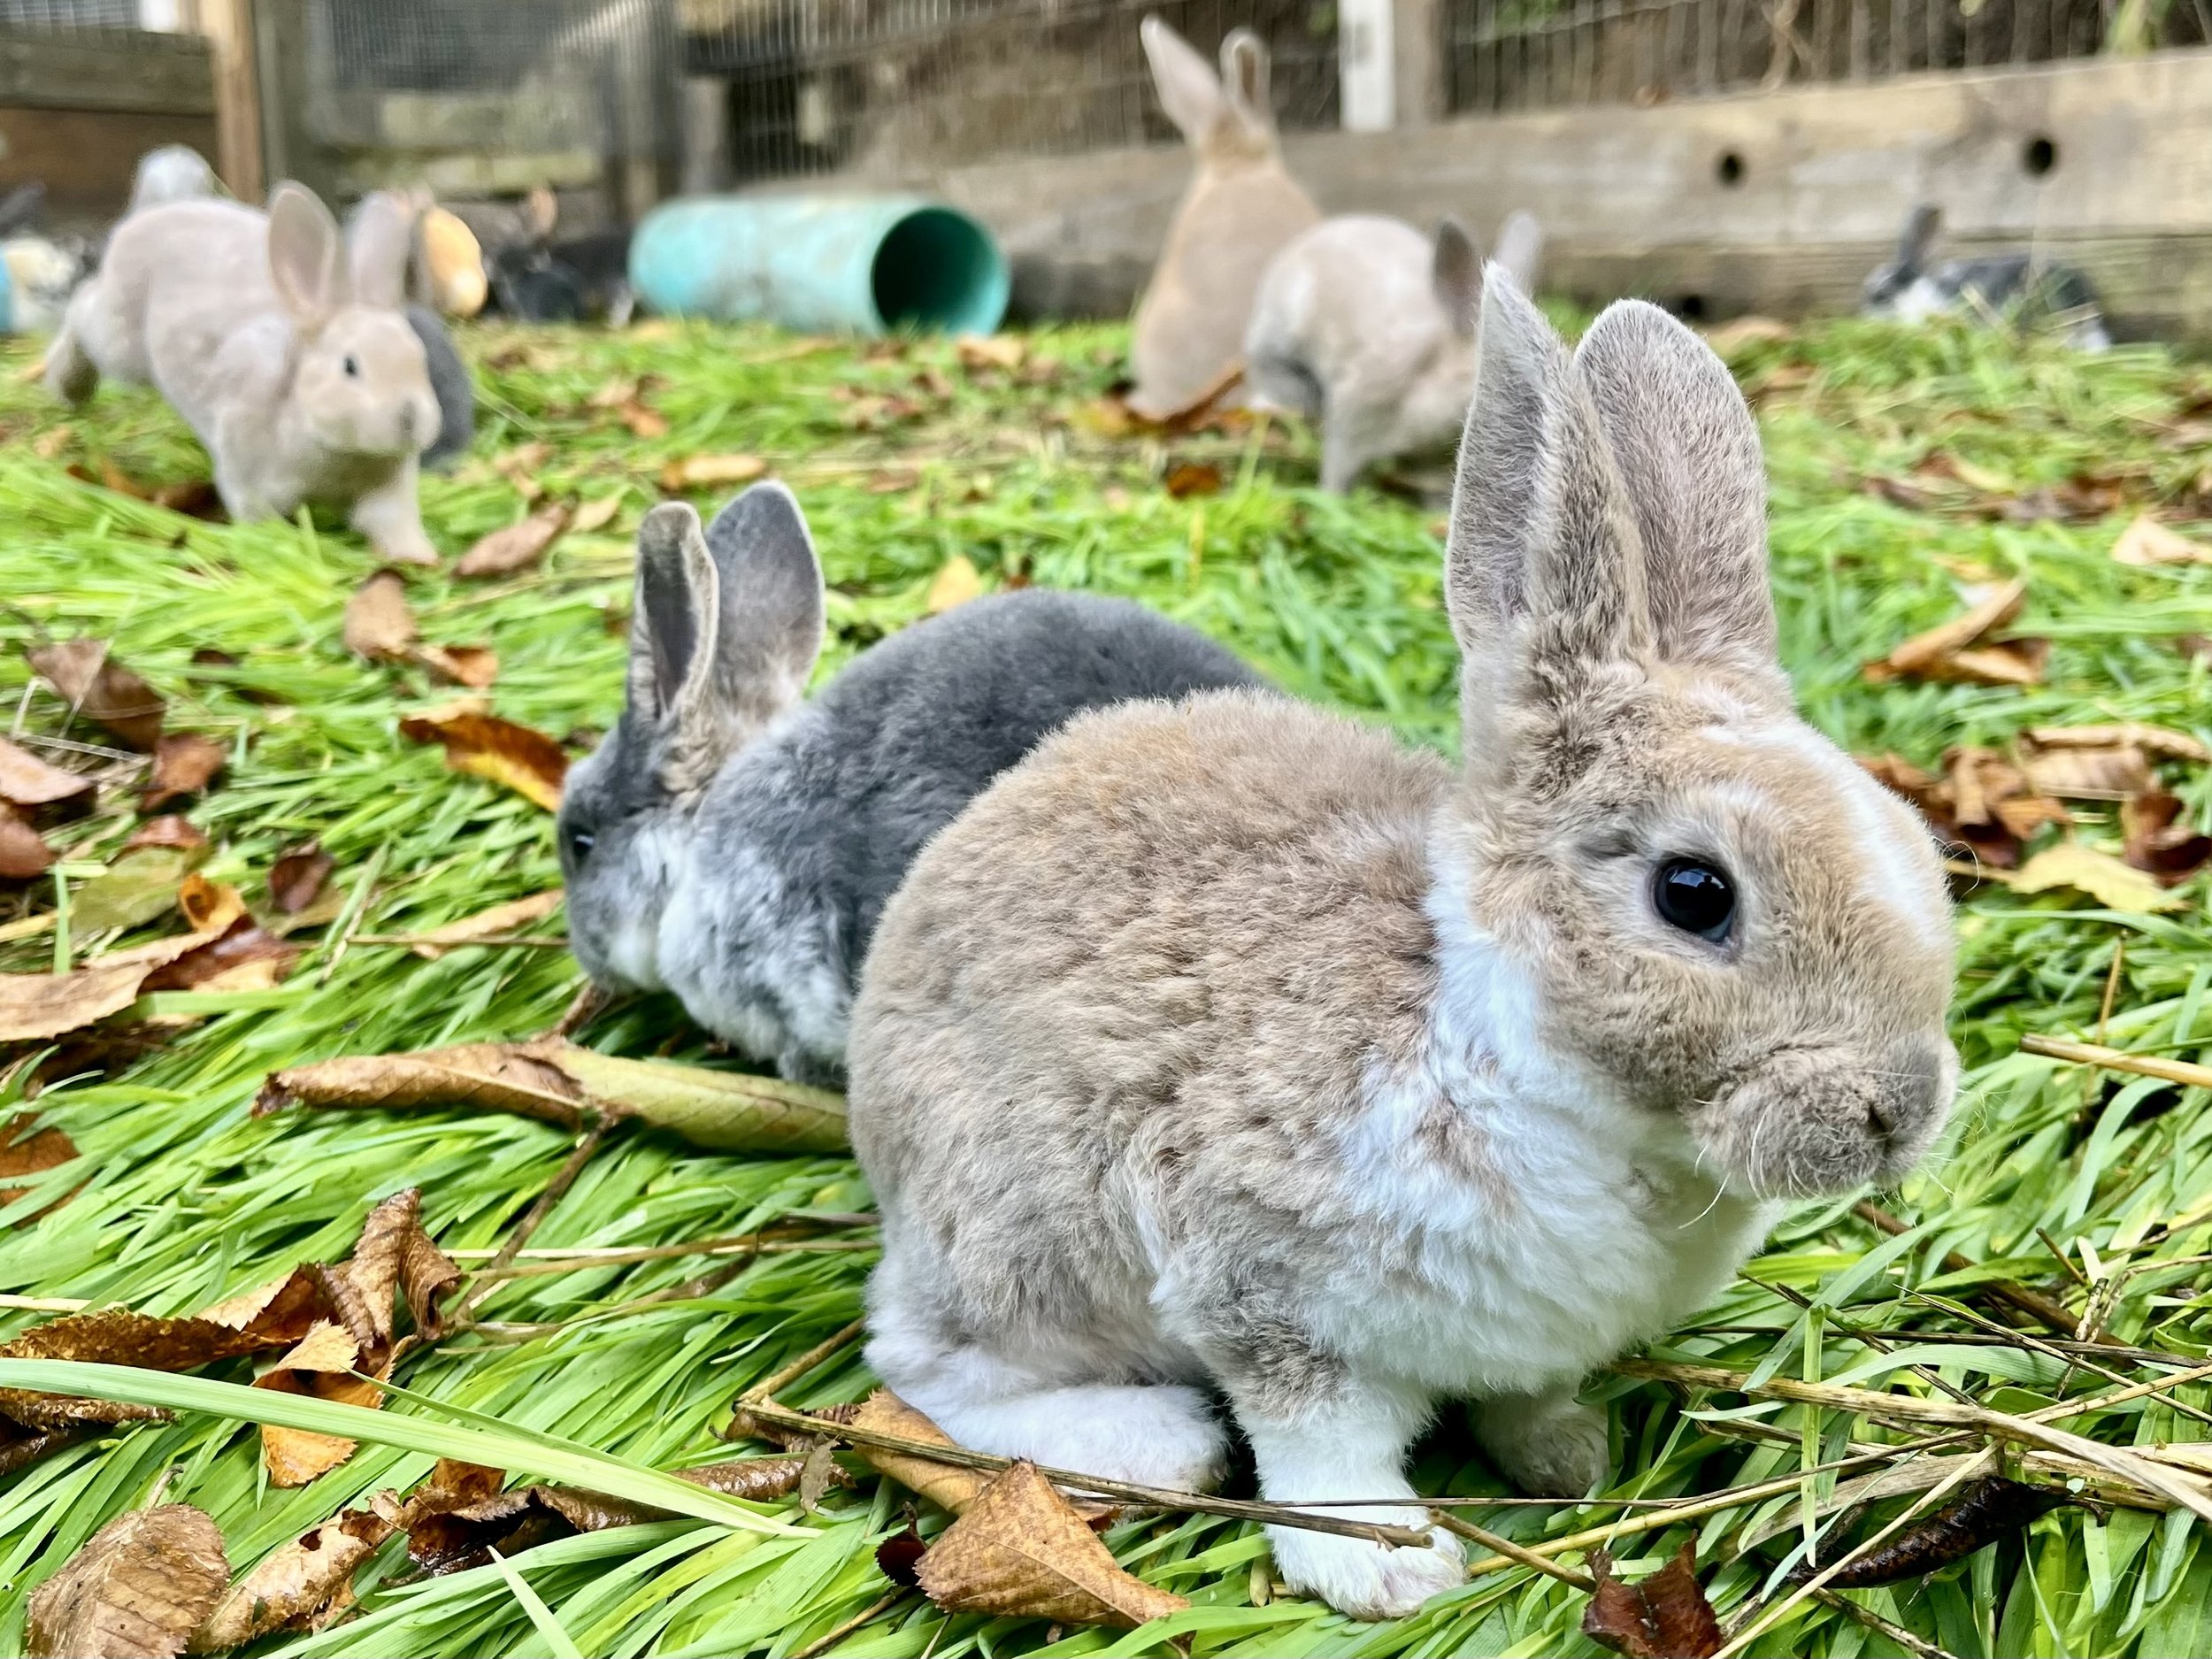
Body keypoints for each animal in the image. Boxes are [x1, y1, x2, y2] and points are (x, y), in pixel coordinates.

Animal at [46, 182, 442, 565]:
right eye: (350, 366)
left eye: (419, 357)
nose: (411, 419)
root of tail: (147, 217)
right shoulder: (248, 479)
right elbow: (259, 518)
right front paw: (286, 551)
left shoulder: (387, 492)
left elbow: (393, 523)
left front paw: (421, 557)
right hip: (121, 345)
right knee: (82, 306)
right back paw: (64, 387)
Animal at [844, 272, 1960, 1620]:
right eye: (1694, 892)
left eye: (1915, 842)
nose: (1899, 1113)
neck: (1522, 1060)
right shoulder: (1259, 1287)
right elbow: (1323, 1443)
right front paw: (1390, 1569)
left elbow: (1525, 1394)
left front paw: (1565, 1455)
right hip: (1018, 1232)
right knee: (921, 1364)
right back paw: (1158, 1439)